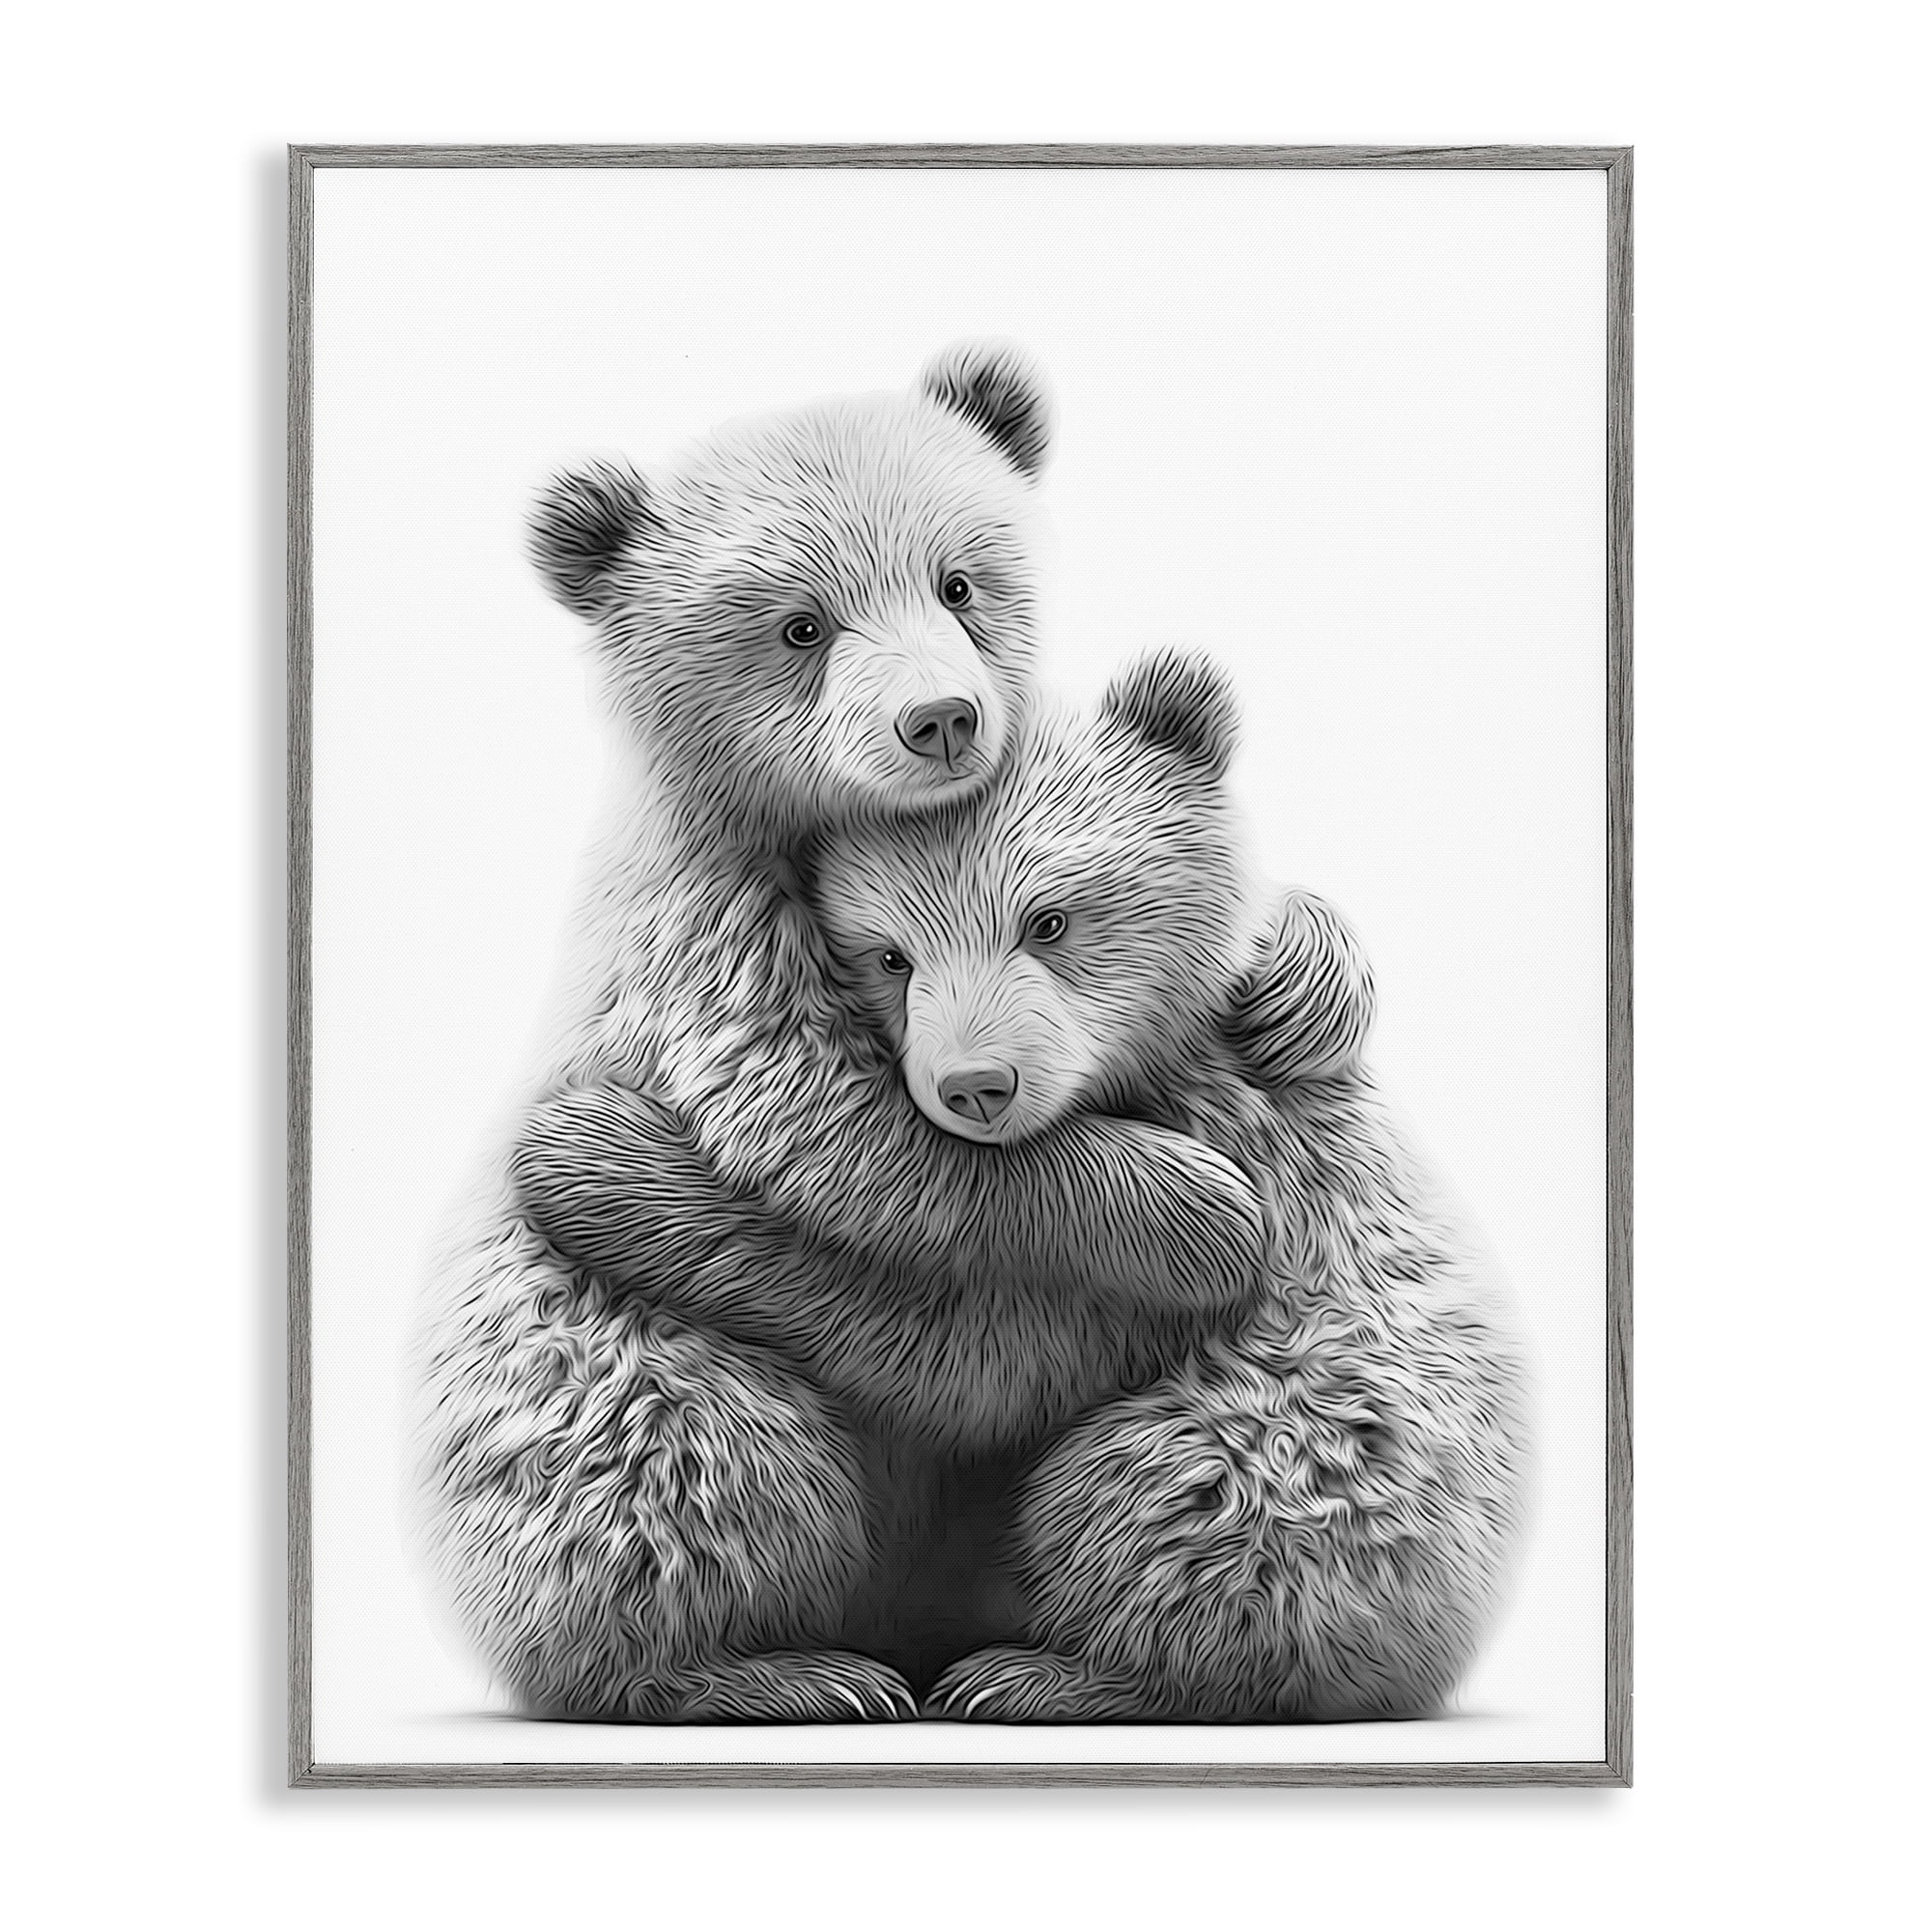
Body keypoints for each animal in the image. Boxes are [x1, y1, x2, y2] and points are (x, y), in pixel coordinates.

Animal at [414, 346, 1299, 1722]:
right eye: (799, 624)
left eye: (957, 580)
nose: (940, 717)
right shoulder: (707, 934)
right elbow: (840, 1136)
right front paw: (1192, 1208)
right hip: (603, 1371)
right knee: (700, 1455)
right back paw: (781, 1667)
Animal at [787, 648, 1528, 1723]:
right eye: (889, 955)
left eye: (1049, 918)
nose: (976, 1084)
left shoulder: (1239, 1177)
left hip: (1295, 1448)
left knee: (1151, 1493)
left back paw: (1033, 1672)